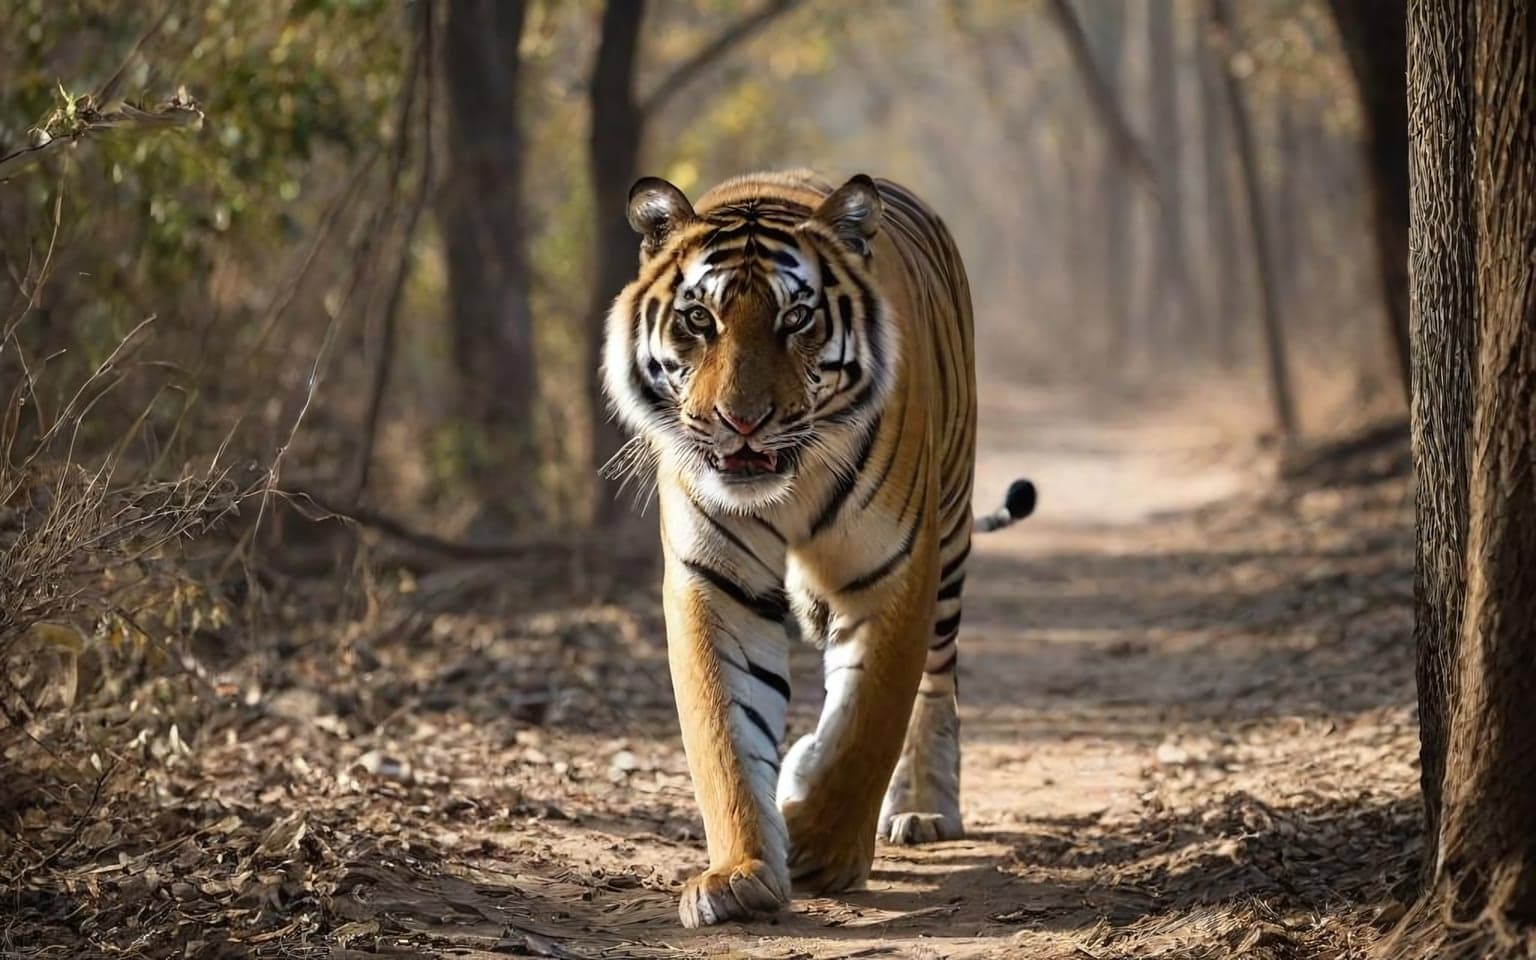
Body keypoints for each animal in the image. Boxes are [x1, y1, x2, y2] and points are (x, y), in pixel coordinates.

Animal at [600, 170, 1035, 928]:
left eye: (797, 319)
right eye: (699, 320)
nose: (741, 422)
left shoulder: (896, 567)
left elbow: (871, 718)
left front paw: (822, 849)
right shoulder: (716, 581)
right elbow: (725, 731)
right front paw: (739, 874)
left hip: (950, 533)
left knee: (934, 686)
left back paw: (922, 809)